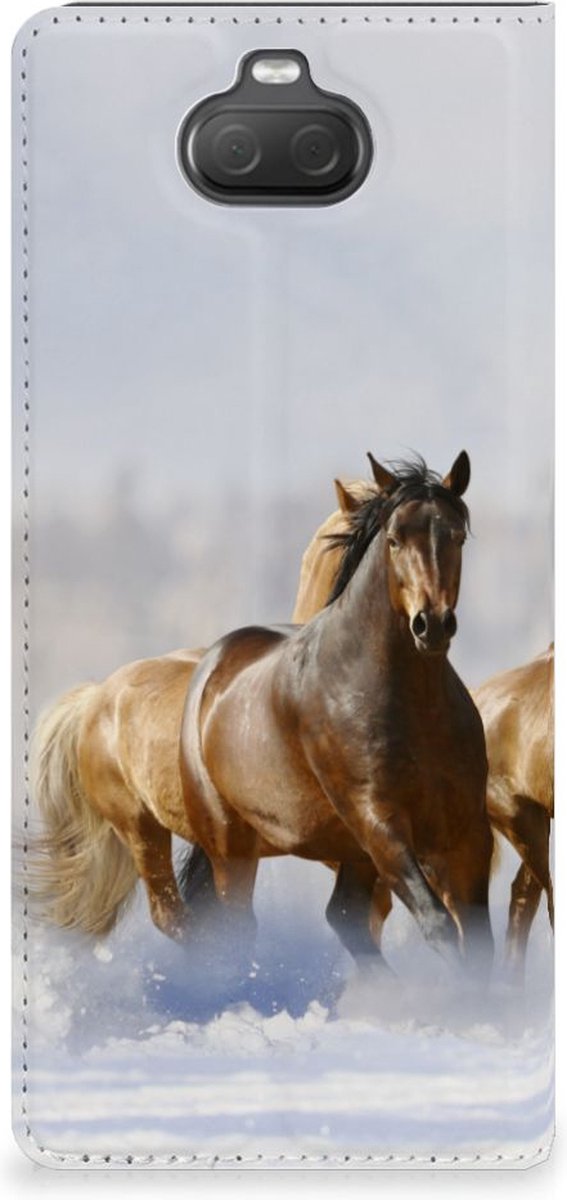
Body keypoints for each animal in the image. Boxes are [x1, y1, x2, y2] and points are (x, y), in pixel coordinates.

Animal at [178, 452, 494, 974]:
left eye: (457, 536)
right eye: (394, 539)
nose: (431, 624)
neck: (414, 707)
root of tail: (212, 666)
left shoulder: (466, 831)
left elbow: (479, 940)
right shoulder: (379, 823)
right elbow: (439, 925)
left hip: (351, 854)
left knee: (345, 915)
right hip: (231, 846)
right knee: (238, 929)